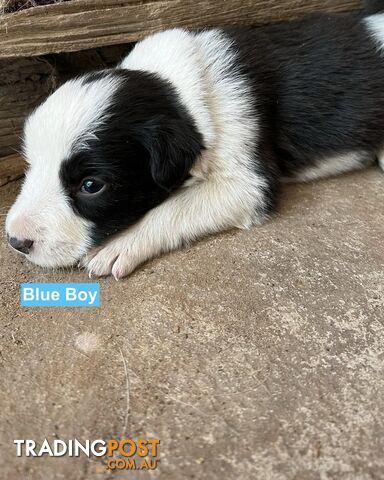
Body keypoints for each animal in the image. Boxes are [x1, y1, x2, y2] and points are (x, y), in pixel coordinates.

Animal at [5, 1, 384, 278]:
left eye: (91, 186)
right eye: (31, 164)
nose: (16, 241)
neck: (176, 94)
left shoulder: (247, 183)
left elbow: (175, 207)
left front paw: (122, 243)